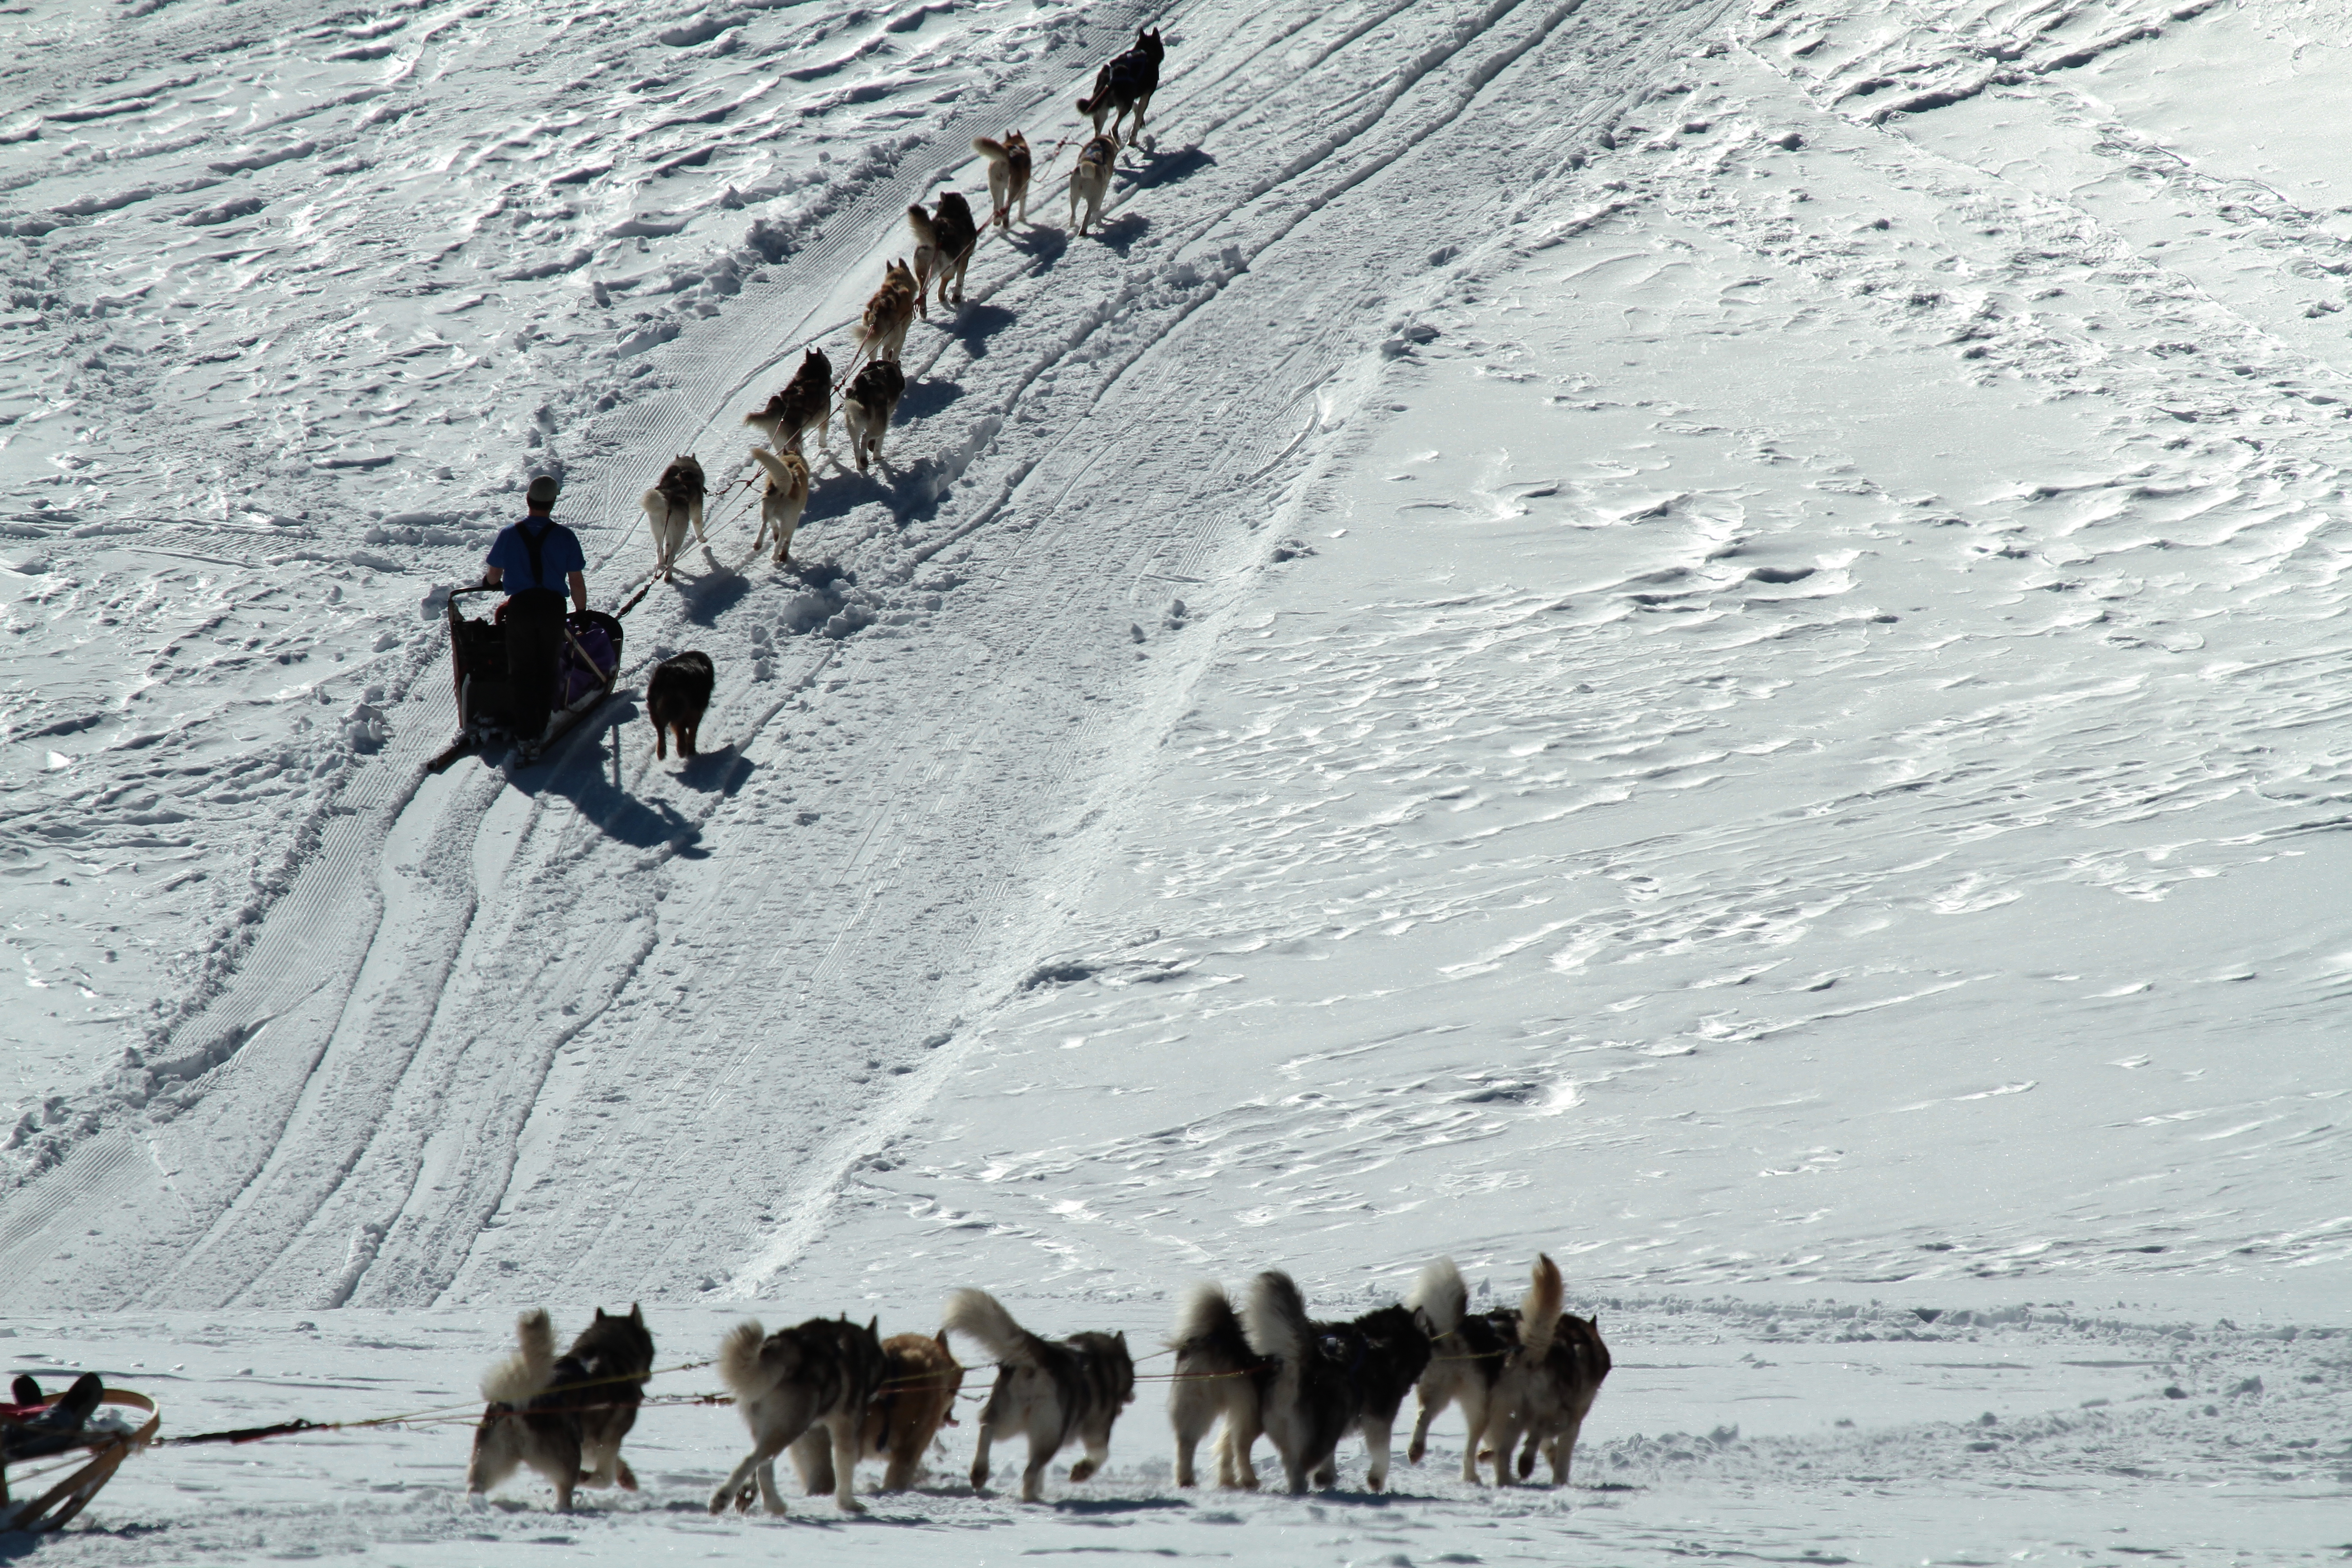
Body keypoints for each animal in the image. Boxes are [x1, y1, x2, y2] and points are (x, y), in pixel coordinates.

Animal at [466, 1307, 658, 1514]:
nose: (649, 1375)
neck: (605, 1350)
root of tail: (524, 1401)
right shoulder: (608, 1440)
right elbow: (605, 1477)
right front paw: (590, 1477)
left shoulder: (590, 1442)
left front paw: (627, 1477)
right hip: (569, 1457)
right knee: (564, 1496)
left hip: (491, 1459)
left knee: (475, 1486)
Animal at [950, 1288, 1143, 1504]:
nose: (1133, 1397)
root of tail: (1046, 1356)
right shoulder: (1097, 1429)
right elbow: (1102, 1454)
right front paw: (1082, 1471)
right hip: (1052, 1434)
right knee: (1030, 1471)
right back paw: (1031, 1498)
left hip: (1010, 1419)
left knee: (988, 1428)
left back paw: (980, 1472)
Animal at [974, 133, 1030, 230]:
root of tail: (1007, 158)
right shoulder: (1024, 187)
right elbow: (1022, 204)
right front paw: (1021, 218)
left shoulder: (1002, 189)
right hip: (1014, 189)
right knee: (1007, 206)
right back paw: (1006, 222)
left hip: (995, 187)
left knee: (997, 206)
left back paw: (997, 221)